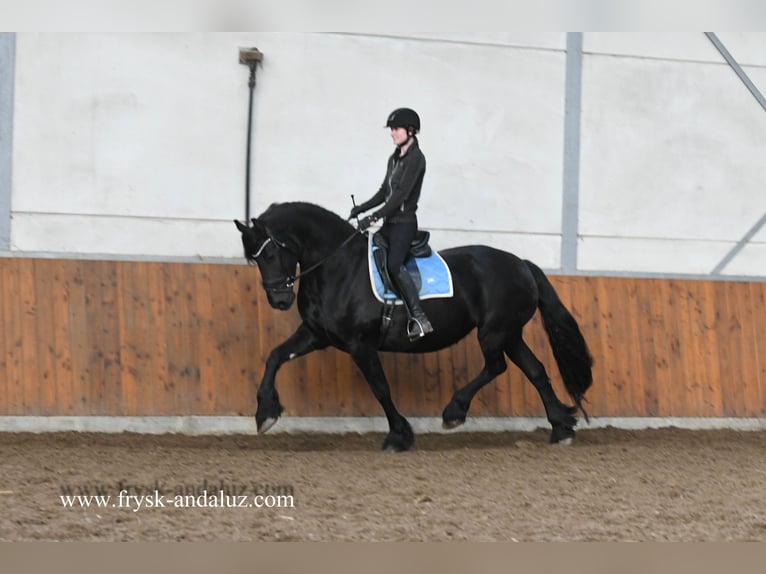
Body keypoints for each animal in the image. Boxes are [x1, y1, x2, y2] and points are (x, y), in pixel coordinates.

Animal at [235, 202, 593, 451]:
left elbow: (380, 387)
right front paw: (265, 413)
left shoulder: (359, 344)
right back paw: (561, 427)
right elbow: (275, 356)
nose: (279, 299)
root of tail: (521, 264)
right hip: (510, 334)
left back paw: (454, 411)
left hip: (494, 333)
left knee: (496, 367)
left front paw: (399, 436)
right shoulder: (316, 335)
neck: (337, 267)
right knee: (535, 370)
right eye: (254, 258)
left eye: (270, 254)